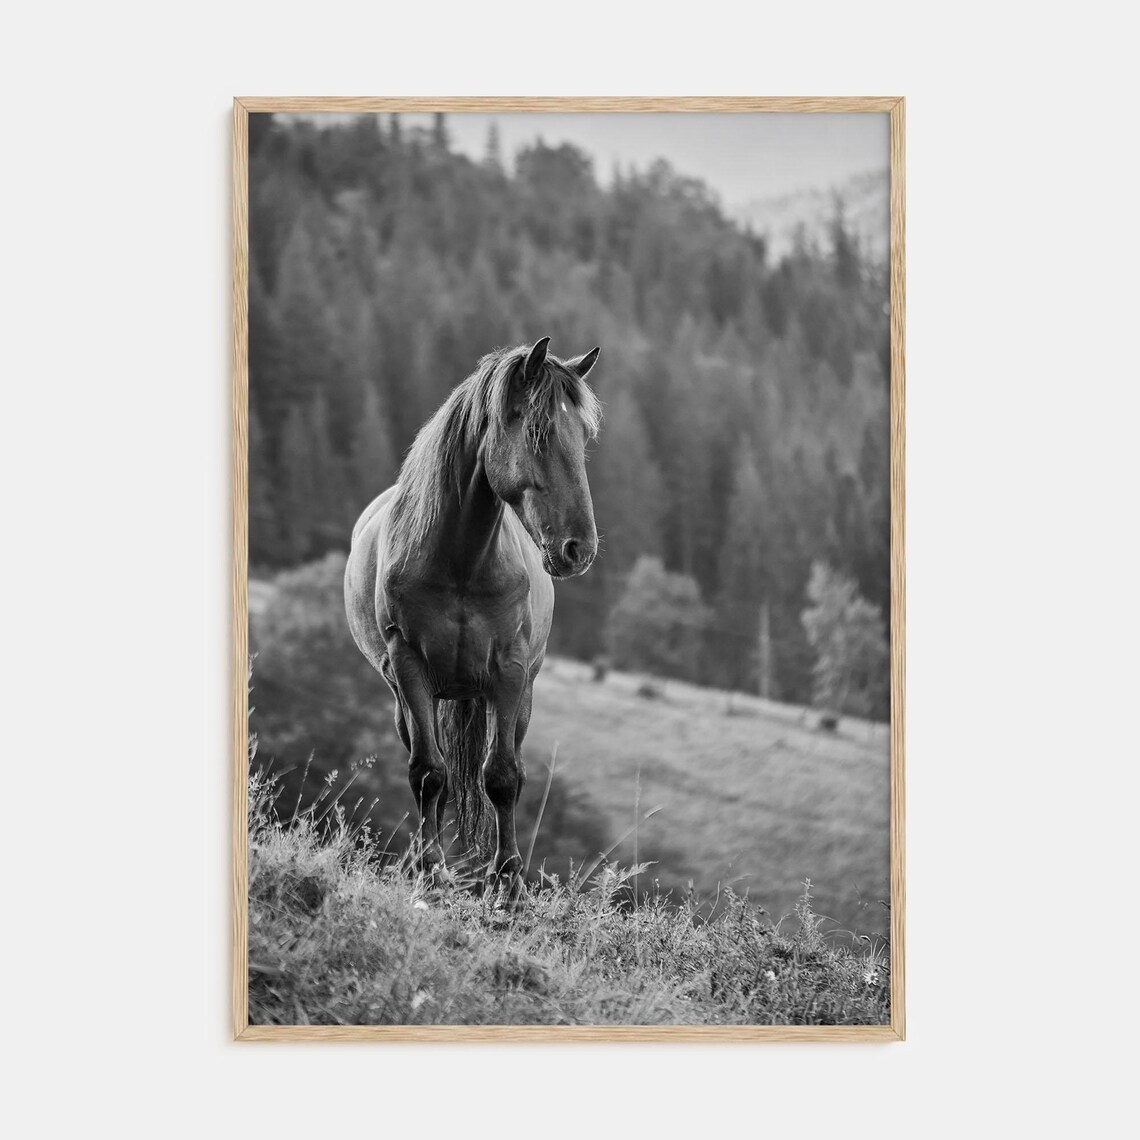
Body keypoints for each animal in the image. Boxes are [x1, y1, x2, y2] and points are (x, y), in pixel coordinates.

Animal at [344, 337, 602, 894]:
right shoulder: (410, 668)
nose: (579, 549)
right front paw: (430, 866)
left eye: (584, 436)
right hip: (408, 698)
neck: (460, 562)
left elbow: (502, 776)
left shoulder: (509, 672)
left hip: (517, 695)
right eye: (539, 432)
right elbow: (428, 773)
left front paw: (508, 879)